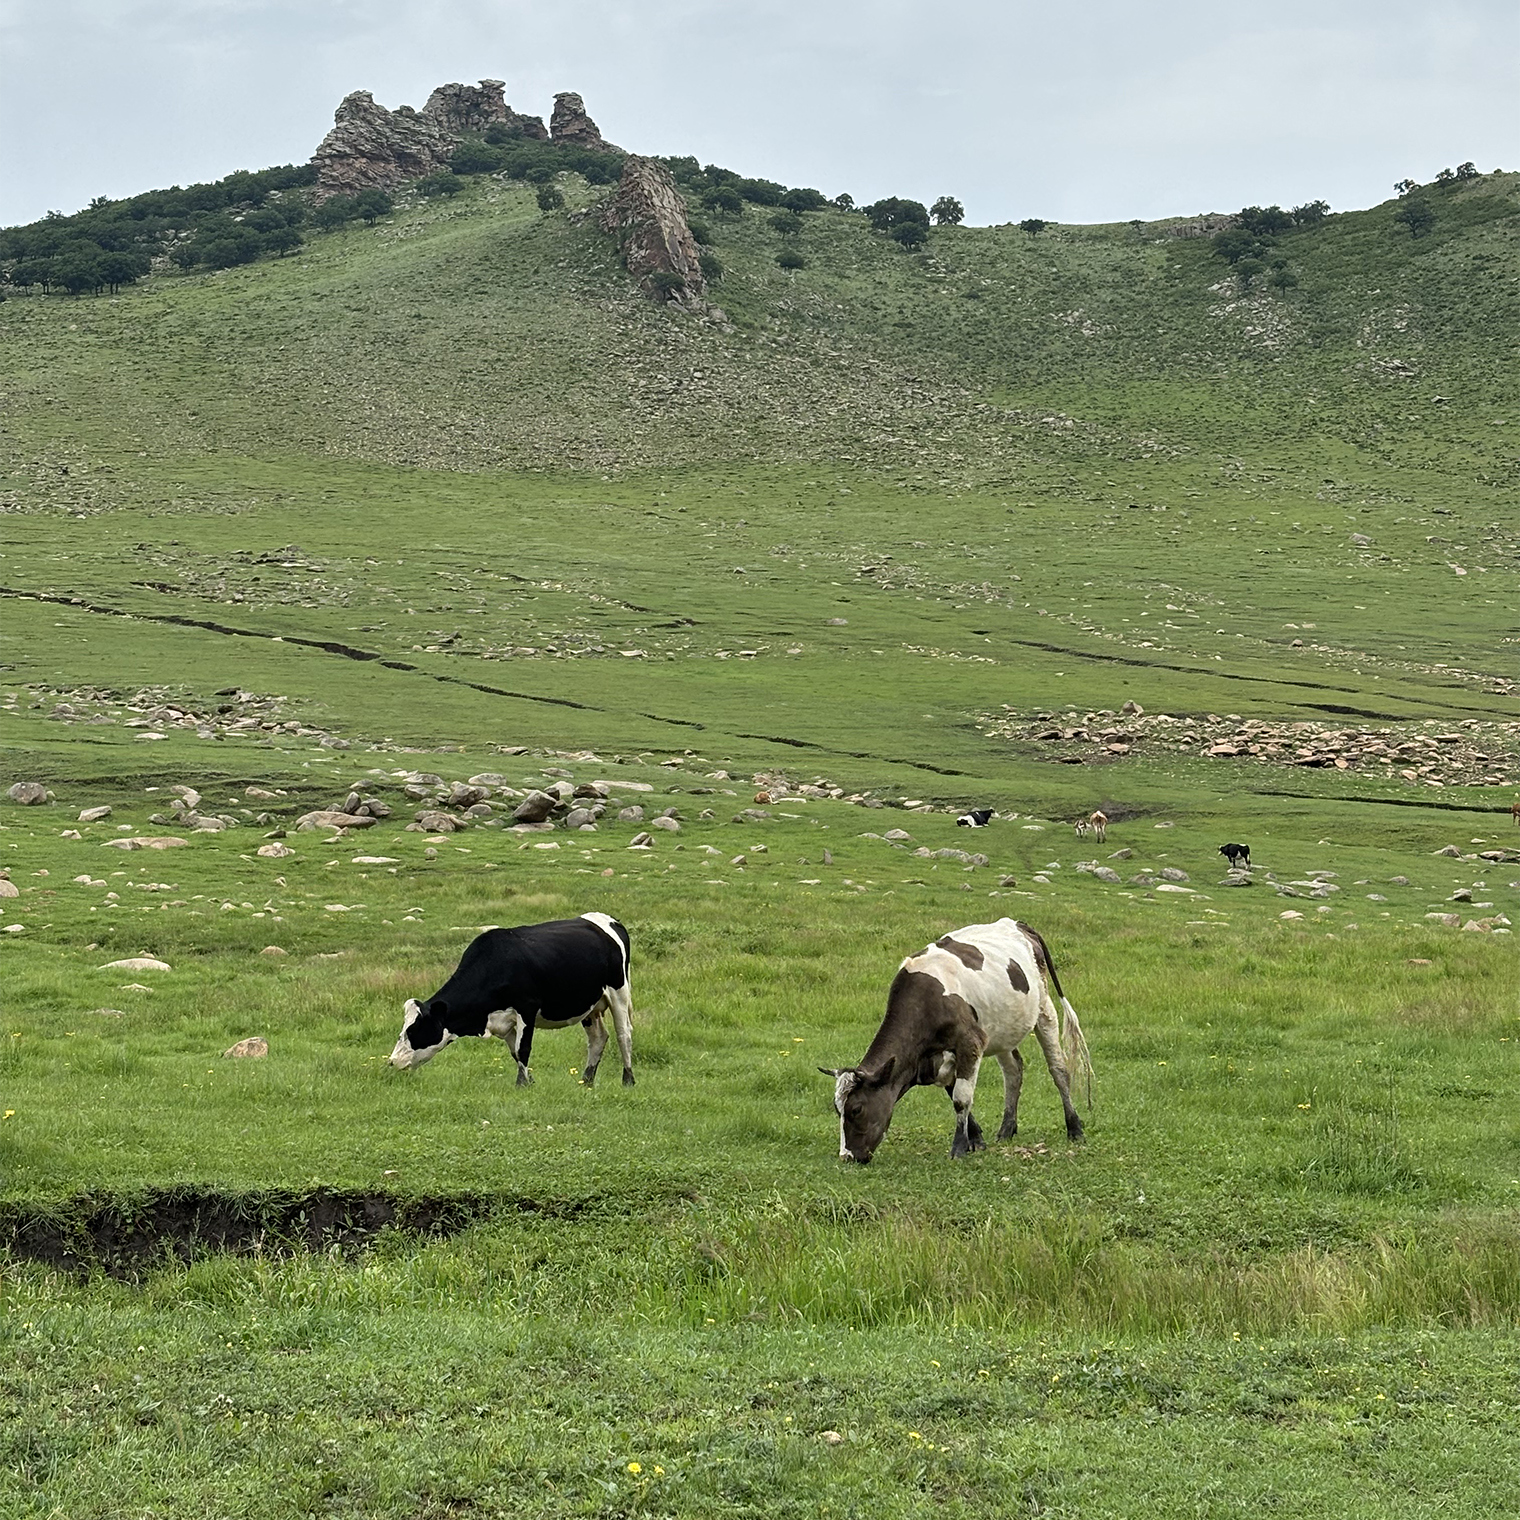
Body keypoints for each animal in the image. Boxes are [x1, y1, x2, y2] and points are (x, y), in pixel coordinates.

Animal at [389, 912, 634, 1087]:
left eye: (414, 1030)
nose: (392, 1061)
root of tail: (608, 921)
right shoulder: (503, 1022)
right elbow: (515, 1051)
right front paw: (529, 1081)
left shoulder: (527, 1008)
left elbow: (523, 1048)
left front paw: (521, 1085)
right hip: (590, 1006)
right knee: (598, 1038)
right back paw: (586, 1081)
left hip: (619, 992)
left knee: (624, 1035)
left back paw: (628, 1079)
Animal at [821, 918, 1091, 1164]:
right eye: (837, 1109)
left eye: (856, 1109)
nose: (847, 1156)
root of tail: (1016, 923)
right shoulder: (937, 1059)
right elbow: (953, 1092)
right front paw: (976, 1139)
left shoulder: (970, 1043)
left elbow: (961, 1098)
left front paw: (959, 1147)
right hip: (1001, 1027)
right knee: (1014, 1071)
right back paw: (1007, 1129)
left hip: (1044, 1009)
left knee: (1058, 1069)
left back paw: (1074, 1127)